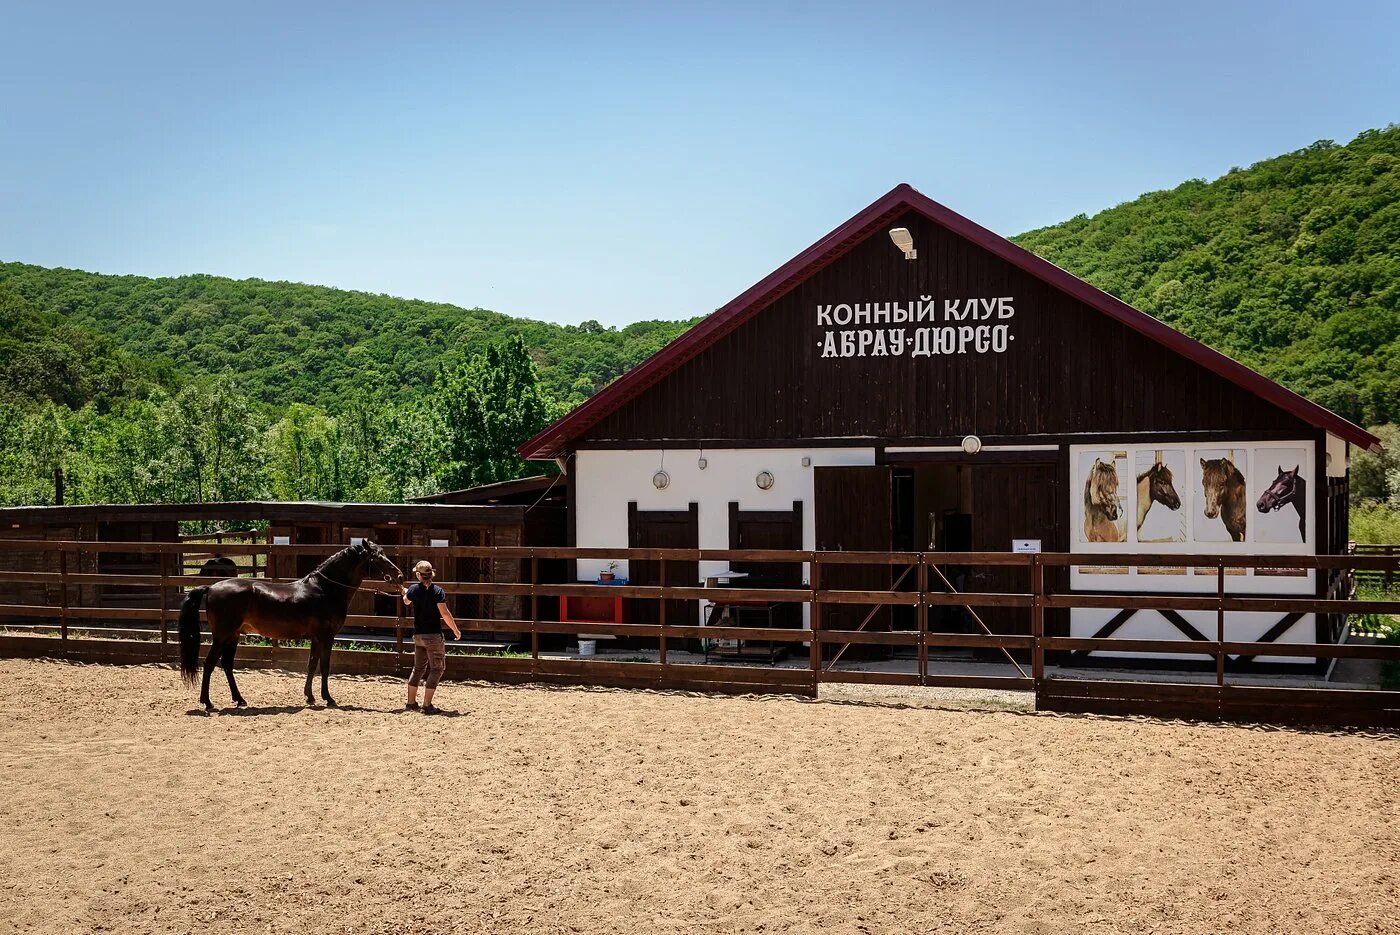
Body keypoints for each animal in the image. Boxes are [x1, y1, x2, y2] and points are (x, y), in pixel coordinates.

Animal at [177, 540, 403, 708]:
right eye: (377, 557)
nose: (399, 576)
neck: (325, 589)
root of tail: (211, 587)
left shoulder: (316, 638)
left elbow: (312, 665)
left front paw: (310, 697)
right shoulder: (326, 636)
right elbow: (325, 665)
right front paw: (328, 698)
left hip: (233, 636)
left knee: (226, 664)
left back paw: (239, 699)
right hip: (222, 636)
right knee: (209, 664)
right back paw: (207, 702)